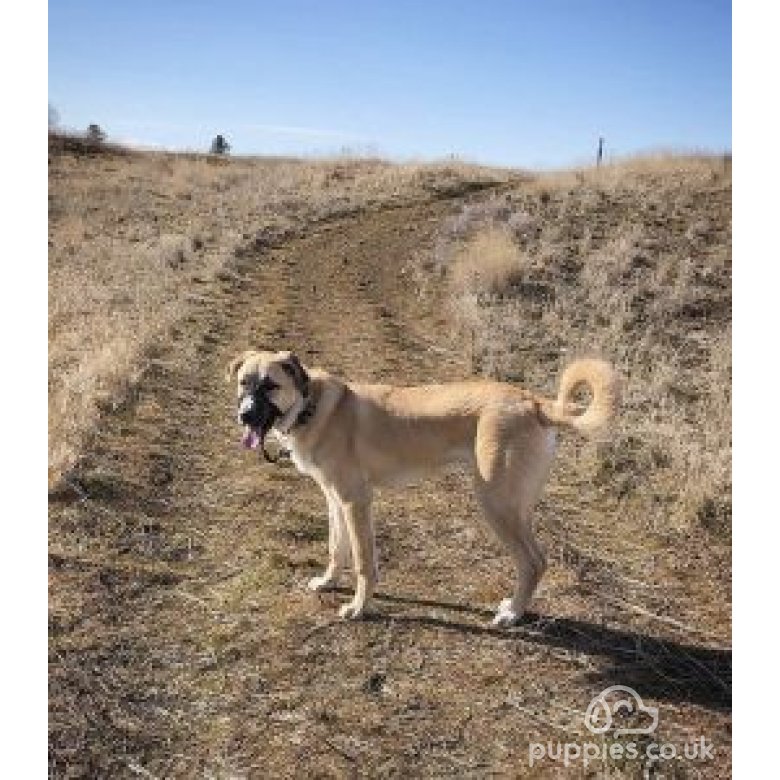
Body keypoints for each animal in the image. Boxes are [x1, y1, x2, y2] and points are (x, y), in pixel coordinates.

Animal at [229, 350, 620, 624]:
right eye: (244, 383)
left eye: (270, 385)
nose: (244, 416)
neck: (310, 407)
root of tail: (534, 402)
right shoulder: (334, 499)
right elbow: (335, 549)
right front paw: (327, 582)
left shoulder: (356, 501)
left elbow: (363, 563)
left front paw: (358, 607)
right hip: (517, 506)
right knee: (534, 560)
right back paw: (513, 605)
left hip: (496, 504)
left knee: (534, 561)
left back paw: (513, 614)